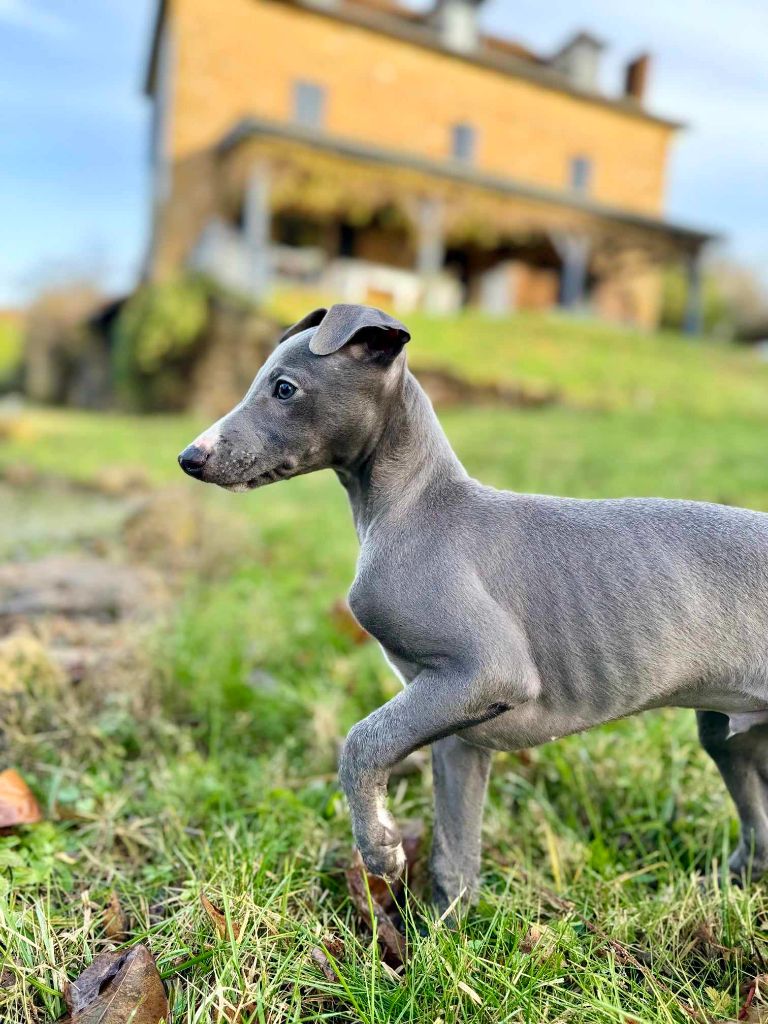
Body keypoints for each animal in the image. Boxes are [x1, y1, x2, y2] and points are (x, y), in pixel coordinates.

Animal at [179, 303, 768, 912]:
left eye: (284, 388)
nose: (189, 457)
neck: (412, 506)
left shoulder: (488, 671)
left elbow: (361, 741)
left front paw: (381, 850)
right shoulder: (455, 727)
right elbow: (454, 850)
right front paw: (443, 929)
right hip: (734, 734)